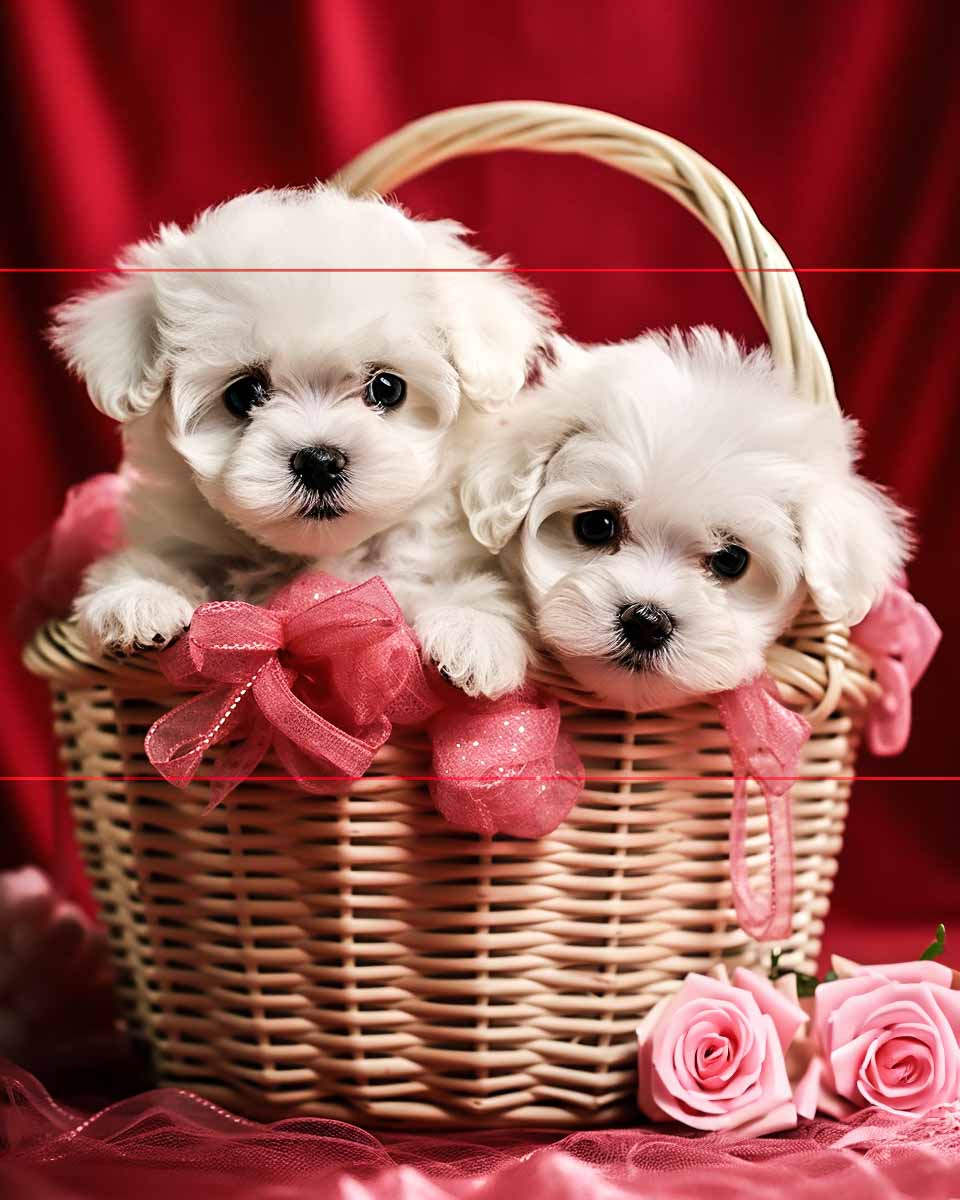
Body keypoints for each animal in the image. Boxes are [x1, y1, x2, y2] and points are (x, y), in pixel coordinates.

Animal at [54, 182, 547, 700]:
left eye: (387, 388)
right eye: (242, 394)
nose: (319, 461)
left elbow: (477, 589)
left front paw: (474, 632)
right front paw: (138, 597)